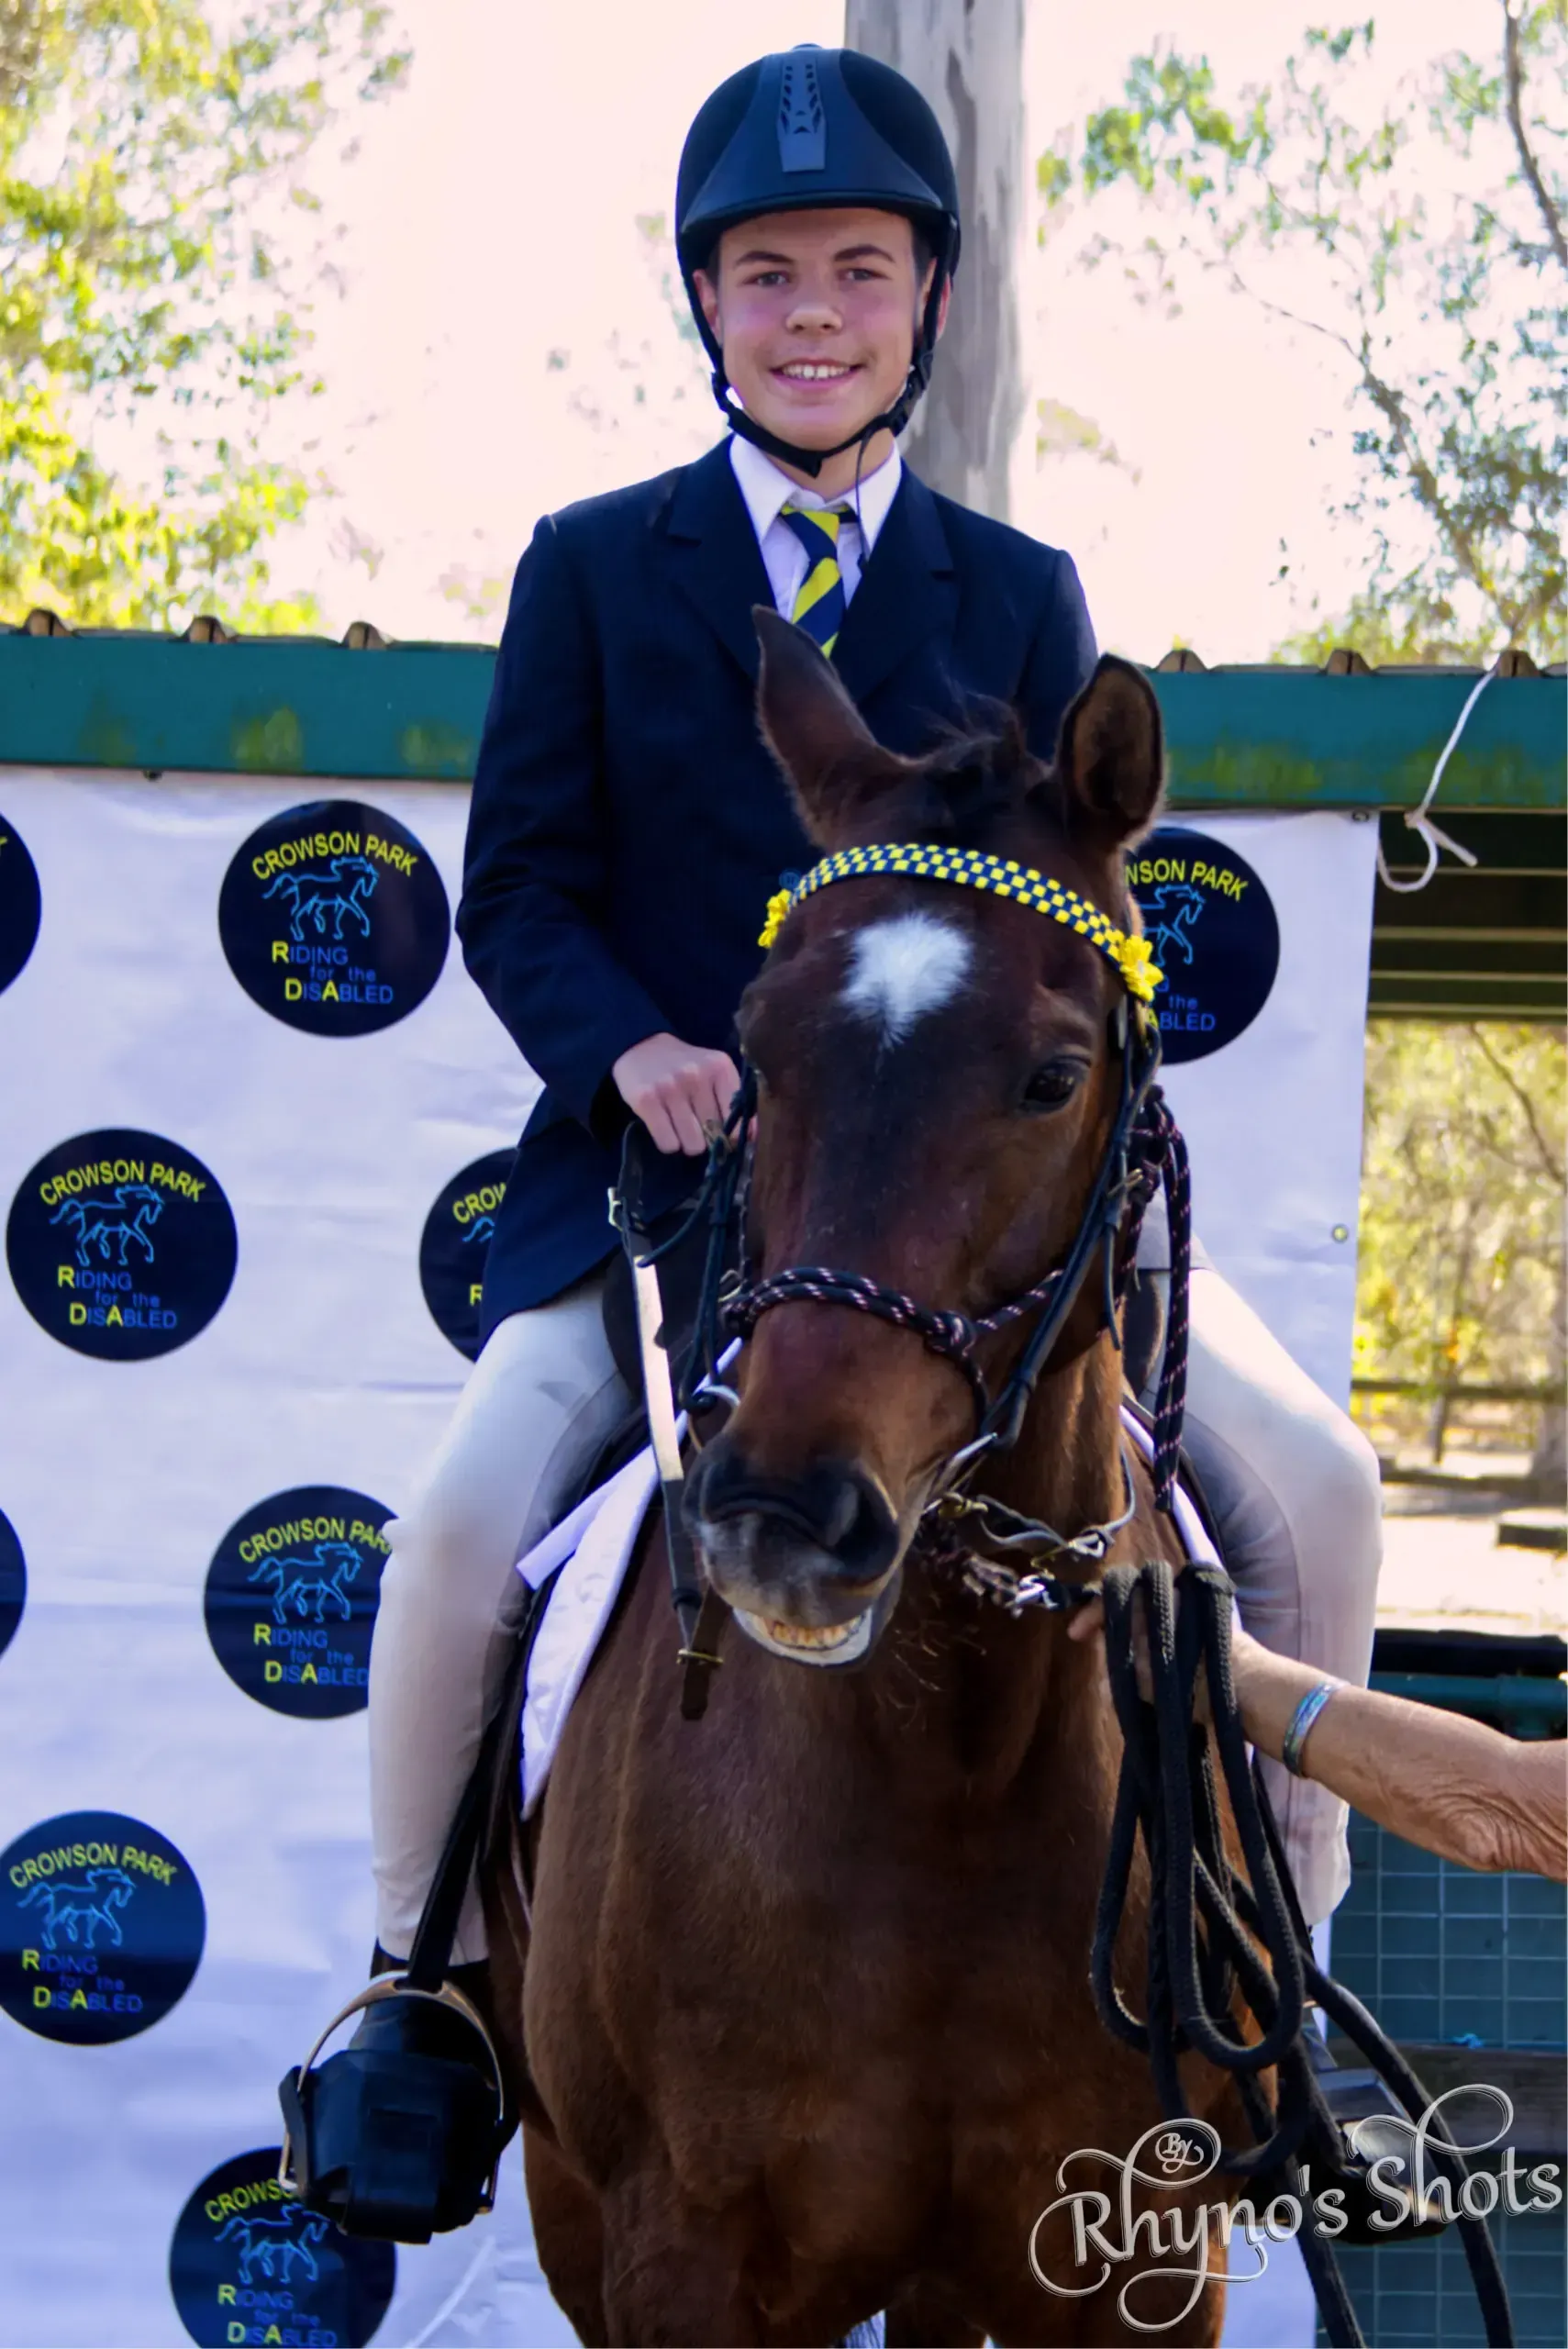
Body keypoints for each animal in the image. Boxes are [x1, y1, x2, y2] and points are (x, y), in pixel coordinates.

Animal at [482, 615, 1256, 2346]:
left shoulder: (1144, 2258)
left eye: (1049, 1078)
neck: (949, 1760)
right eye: (757, 1055)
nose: (780, 1518)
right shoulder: (676, 2255)